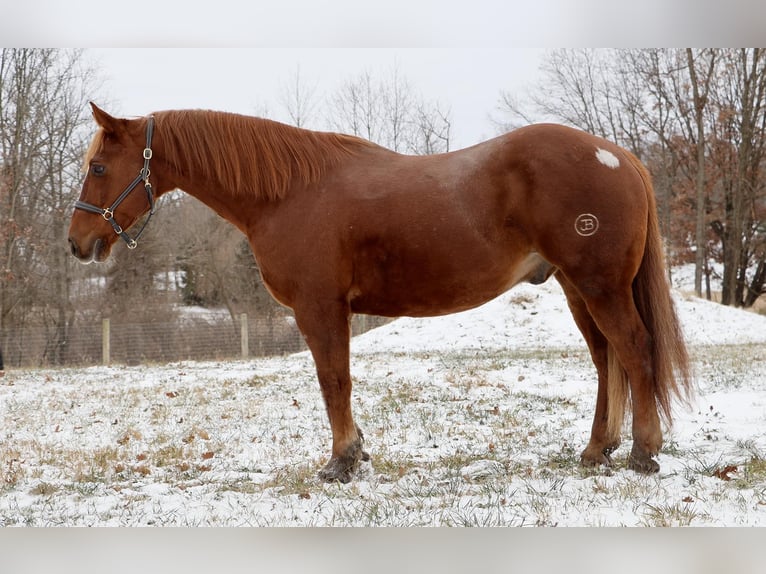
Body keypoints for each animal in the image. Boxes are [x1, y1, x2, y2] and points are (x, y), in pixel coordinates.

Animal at [68, 103, 692, 482]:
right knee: (606, 359)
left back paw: (642, 453)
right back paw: (595, 451)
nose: (77, 243)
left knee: (634, 351)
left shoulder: (320, 308)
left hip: (600, 286)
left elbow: (334, 381)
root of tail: (617, 156)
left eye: (98, 166)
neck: (288, 193)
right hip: (576, 289)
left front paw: (342, 462)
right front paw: (355, 452)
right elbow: (337, 381)